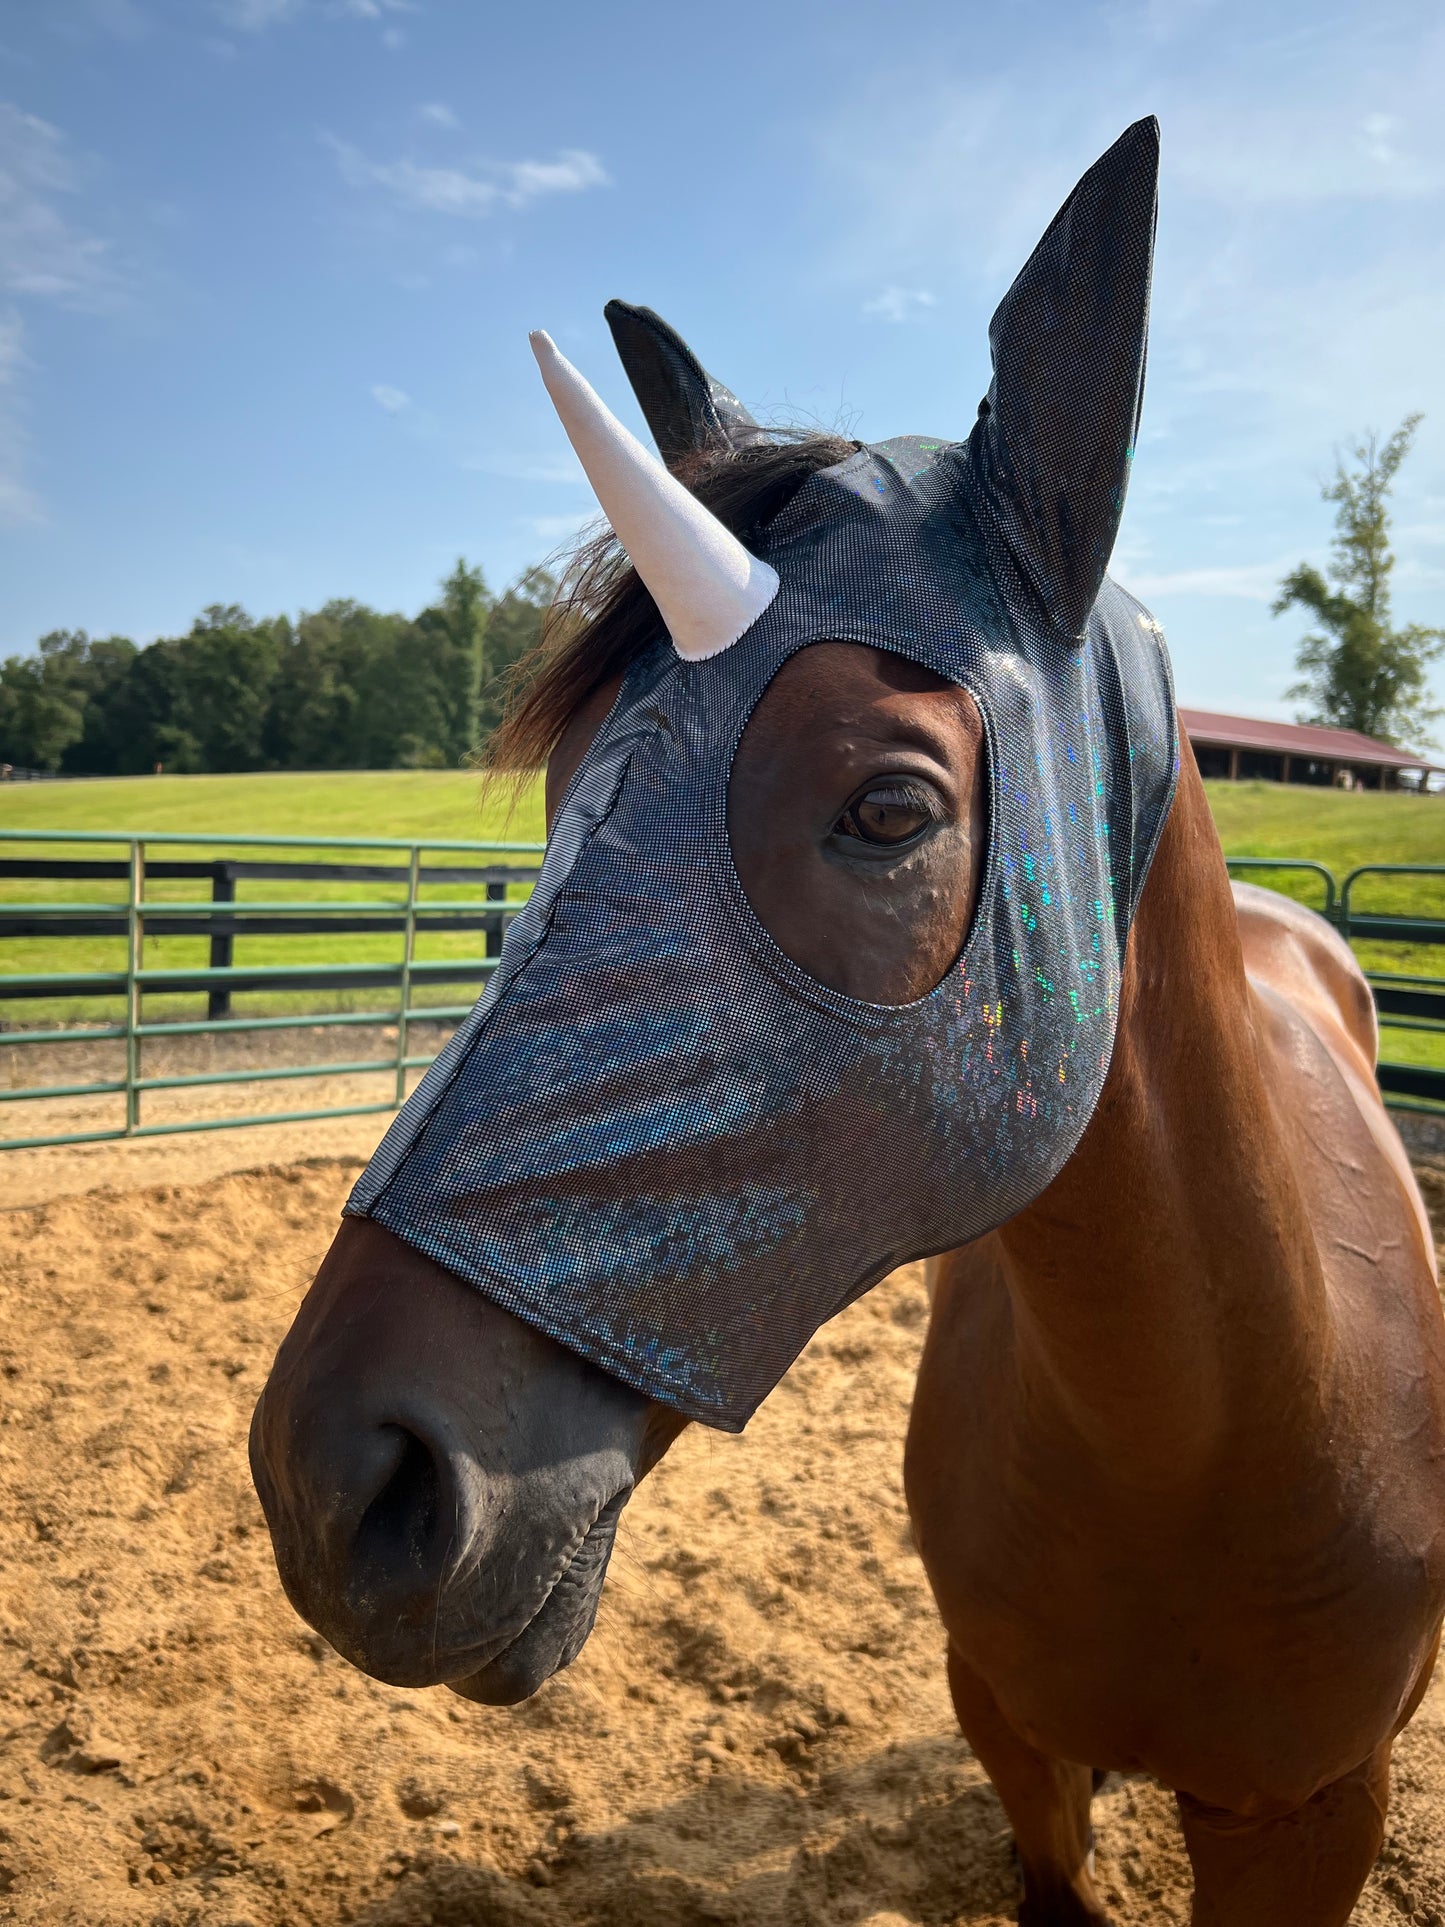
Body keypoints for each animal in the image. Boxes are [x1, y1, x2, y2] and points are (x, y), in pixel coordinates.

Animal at [250, 121, 1445, 1924]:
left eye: (890, 806)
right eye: (564, 788)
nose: (336, 1484)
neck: (1211, 1440)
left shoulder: (1315, 1812)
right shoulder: (1012, 1740)